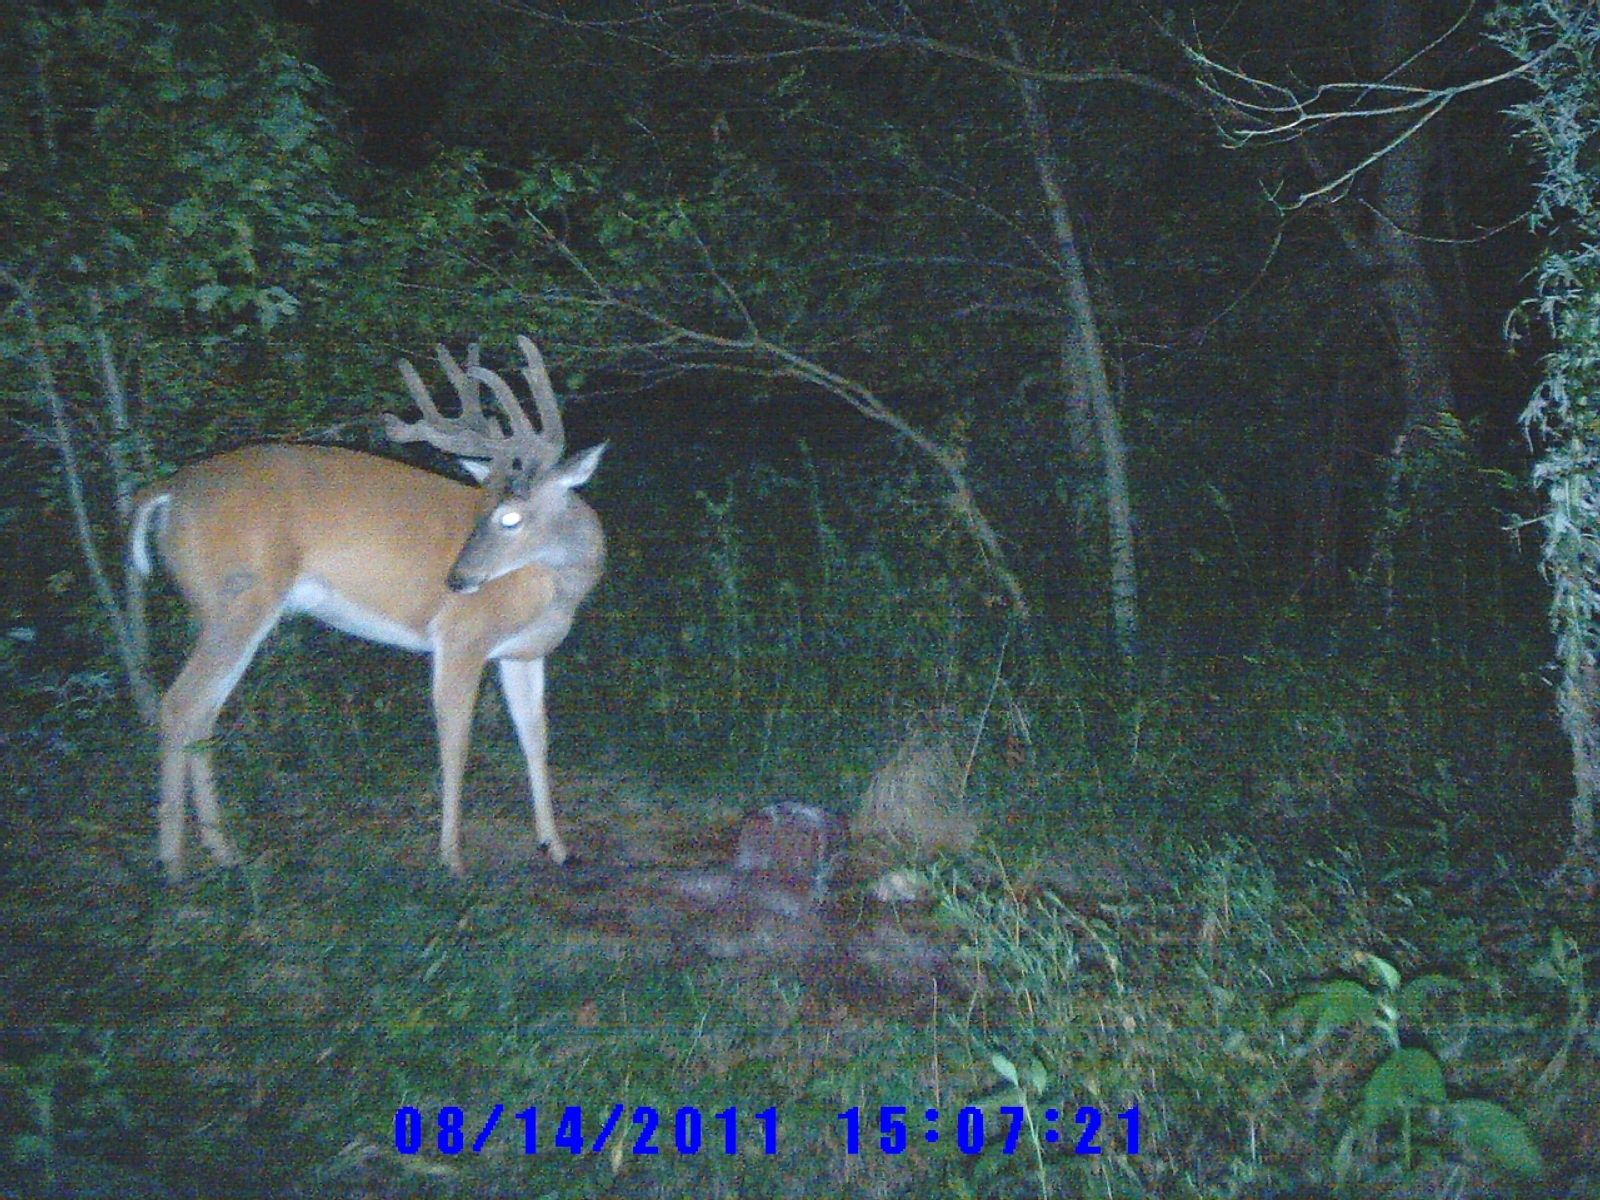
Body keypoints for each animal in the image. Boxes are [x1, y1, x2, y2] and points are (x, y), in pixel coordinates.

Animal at [128, 335, 605, 882]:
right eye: (485, 512)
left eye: (509, 517)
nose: (456, 581)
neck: (550, 588)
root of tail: (166, 492)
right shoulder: (461, 636)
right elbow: (455, 741)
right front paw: (452, 858)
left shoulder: (523, 653)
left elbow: (535, 737)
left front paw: (556, 846)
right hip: (237, 601)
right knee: (179, 705)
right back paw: (173, 864)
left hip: (218, 610)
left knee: (203, 713)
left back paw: (223, 851)